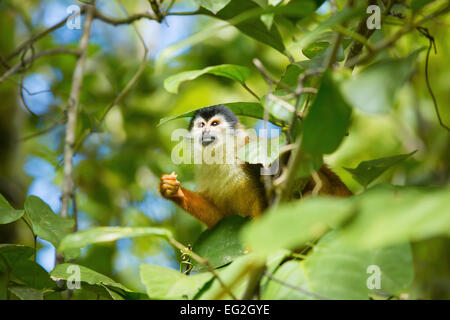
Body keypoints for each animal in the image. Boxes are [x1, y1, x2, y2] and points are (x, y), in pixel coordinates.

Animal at [158, 106, 352, 229]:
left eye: (214, 124)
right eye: (201, 125)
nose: (205, 132)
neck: (224, 154)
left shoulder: (248, 152)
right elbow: (220, 217)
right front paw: (173, 191)